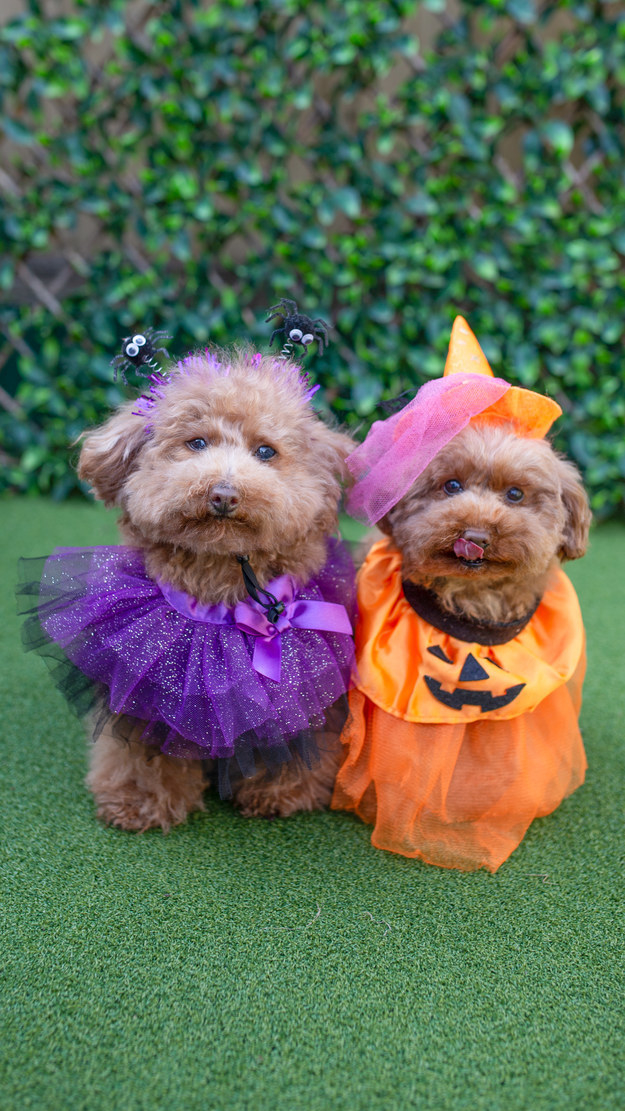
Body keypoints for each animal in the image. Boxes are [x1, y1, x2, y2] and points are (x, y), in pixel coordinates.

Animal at [20, 351, 357, 831]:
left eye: (266, 451)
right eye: (196, 443)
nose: (224, 494)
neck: (220, 582)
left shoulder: (298, 692)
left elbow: (288, 733)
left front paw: (282, 792)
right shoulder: (141, 684)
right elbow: (144, 746)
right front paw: (139, 800)